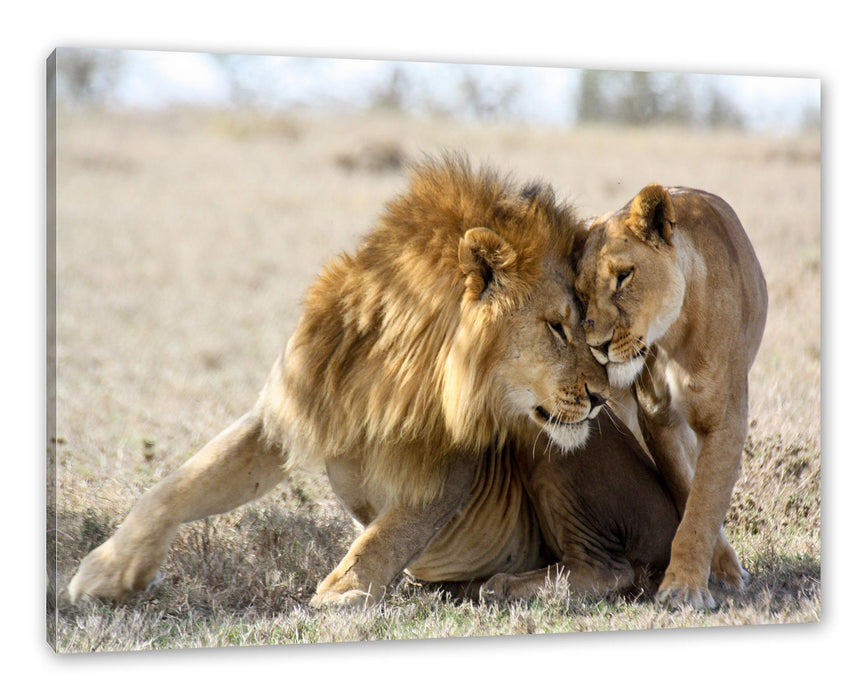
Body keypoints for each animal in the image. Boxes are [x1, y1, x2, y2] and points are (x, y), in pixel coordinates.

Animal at [69, 157, 676, 608]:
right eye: (557, 326)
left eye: (587, 322)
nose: (601, 397)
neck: (391, 368)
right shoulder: (287, 409)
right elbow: (179, 484)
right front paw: (106, 572)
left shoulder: (449, 467)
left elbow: (387, 532)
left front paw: (341, 592)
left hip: (552, 452)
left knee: (612, 570)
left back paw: (505, 586)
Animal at [572, 185, 764, 608]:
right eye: (580, 294)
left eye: (623, 277)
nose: (597, 346)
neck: (673, 336)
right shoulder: (656, 418)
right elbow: (687, 489)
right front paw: (707, 572)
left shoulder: (725, 420)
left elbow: (704, 501)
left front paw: (685, 588)